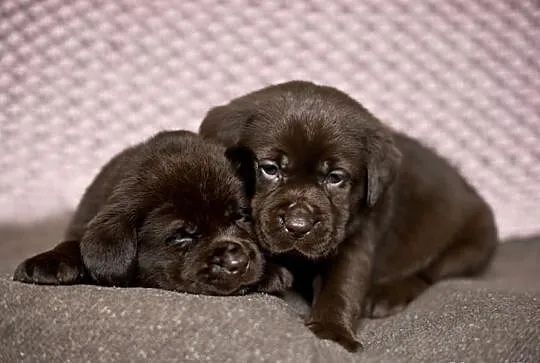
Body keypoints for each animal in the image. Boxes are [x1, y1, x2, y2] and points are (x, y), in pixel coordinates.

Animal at [13, 130, 292, 296]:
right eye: (181, 236)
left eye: (241, 217)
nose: (236, 262)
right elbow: (74, 243)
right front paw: (47, 262)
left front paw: (271, 272)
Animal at [200, 81, 500, 352]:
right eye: (270, 169)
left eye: (335, 177)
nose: (298, 226)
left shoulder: (355, 239)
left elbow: (342, 285)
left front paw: (332, 331)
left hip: (470, 245)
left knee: (429, 275)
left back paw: (386, 295)